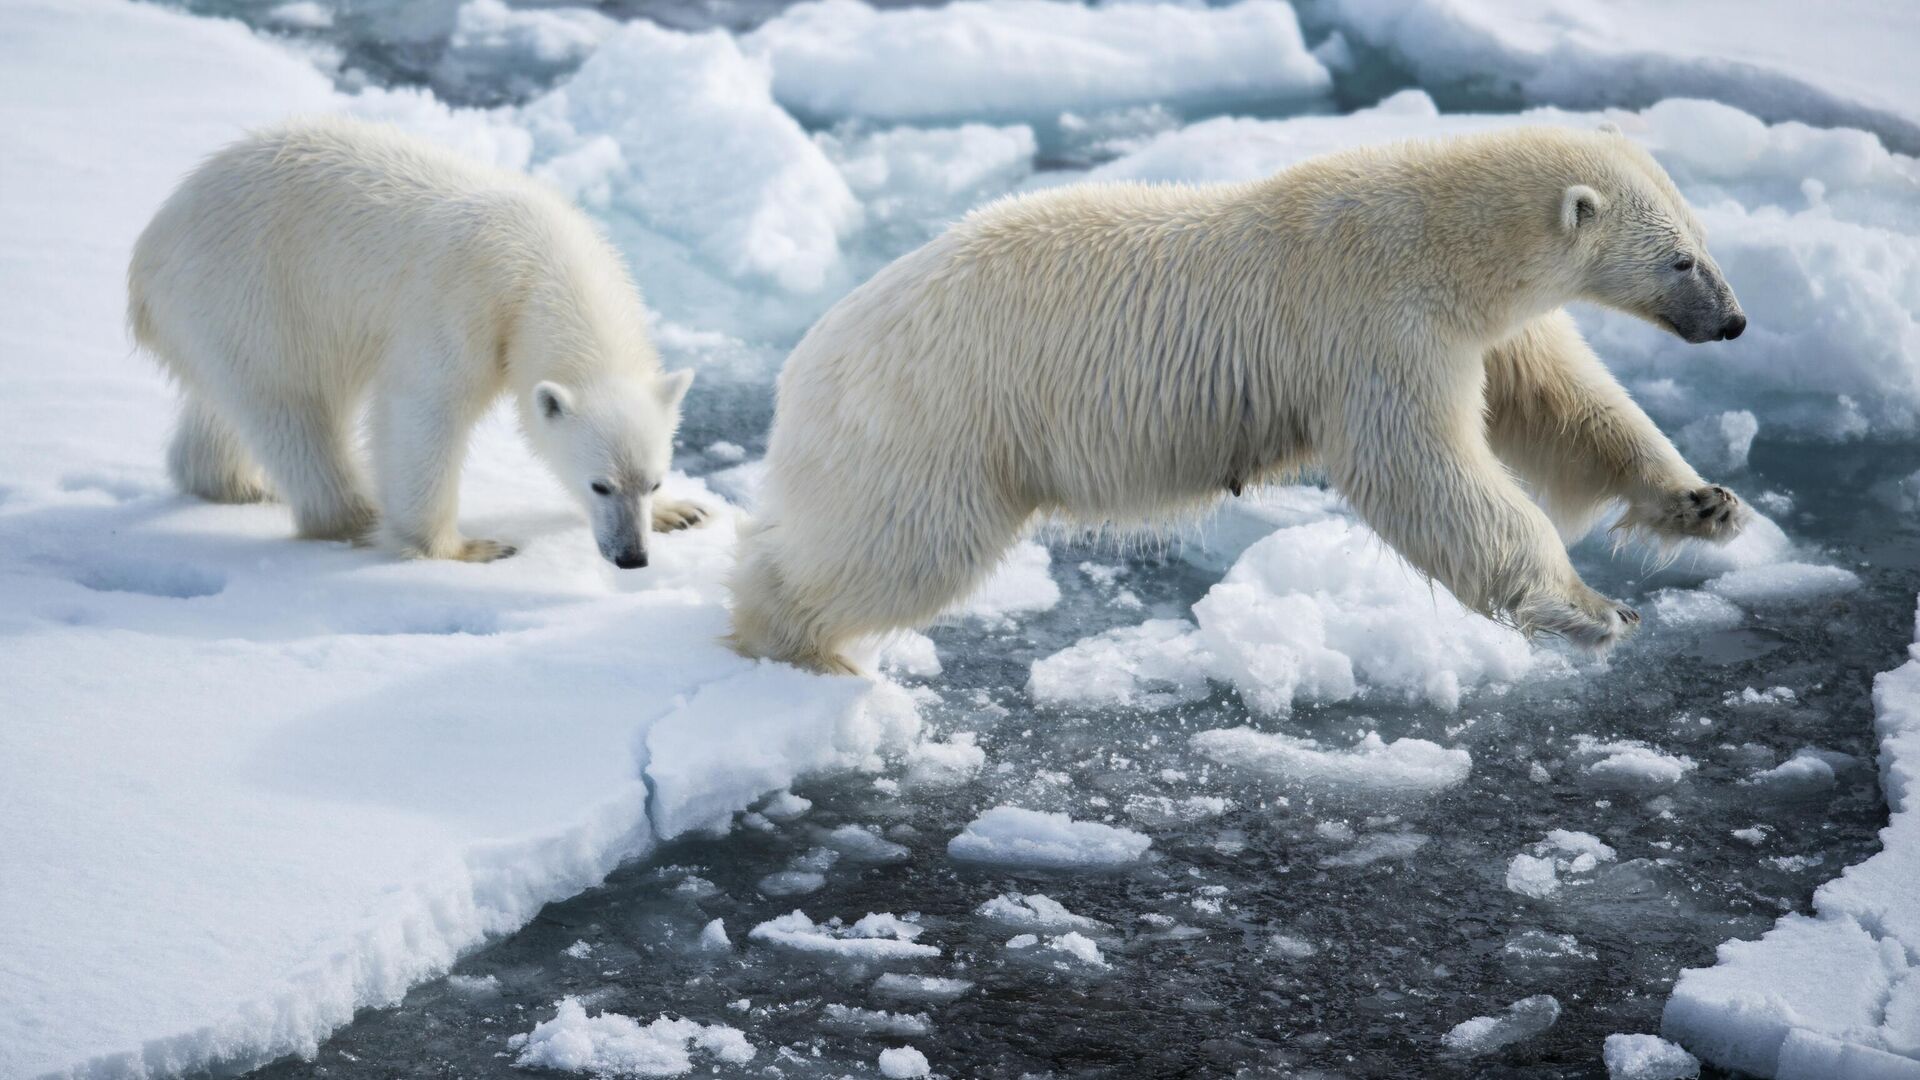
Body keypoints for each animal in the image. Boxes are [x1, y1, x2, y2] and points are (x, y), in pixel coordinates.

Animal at [131, 119, 710, 564]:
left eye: (653, 482)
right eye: (600, 484)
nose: (632, 558)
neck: (544, 264)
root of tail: (150, 250)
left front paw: (682, 512)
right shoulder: (466, 304)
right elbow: (423, 411)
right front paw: (464, 548)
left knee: (225, 405)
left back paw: (234, 482)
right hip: (254, 290)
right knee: (294, 407)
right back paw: (355, 515)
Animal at [733, 127, 1758, 672]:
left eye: (1705, 238)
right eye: (1680, 260)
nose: (1736, 321)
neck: (1439, 236)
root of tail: (806, 360)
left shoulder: (1483, 329)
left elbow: (1566, 407)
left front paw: (1705, 503)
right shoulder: (1374, 325)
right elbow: (1424, 471)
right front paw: (1594, 607)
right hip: (936, 418)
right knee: (902, 545)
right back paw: (793, 638)